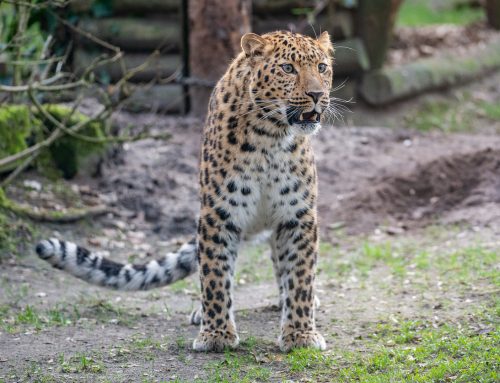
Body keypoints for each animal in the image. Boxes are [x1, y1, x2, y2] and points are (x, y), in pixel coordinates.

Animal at [36, 30, 336, 354]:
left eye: (321, 67)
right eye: (288, 69)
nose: (317, 95)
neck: (271, 137)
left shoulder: (297, 215)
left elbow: (300, 277)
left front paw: (300, 334)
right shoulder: (218, 214)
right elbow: (215, 275)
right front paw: (216, 334)